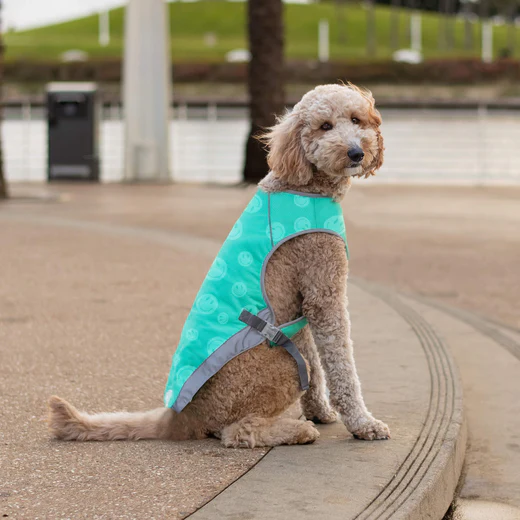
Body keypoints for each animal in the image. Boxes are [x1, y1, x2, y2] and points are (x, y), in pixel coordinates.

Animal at [47, 84, 390, 446]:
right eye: (325, 126)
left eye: (356, 119)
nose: (356, 152)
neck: (304, 184)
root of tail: (179, 419)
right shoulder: (324, 289)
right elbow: (342, 368)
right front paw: (363, 423)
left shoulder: (301, 304)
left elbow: (316, 360)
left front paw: (320, 411)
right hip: (278, 366)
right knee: (236, 431)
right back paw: (296, 430)